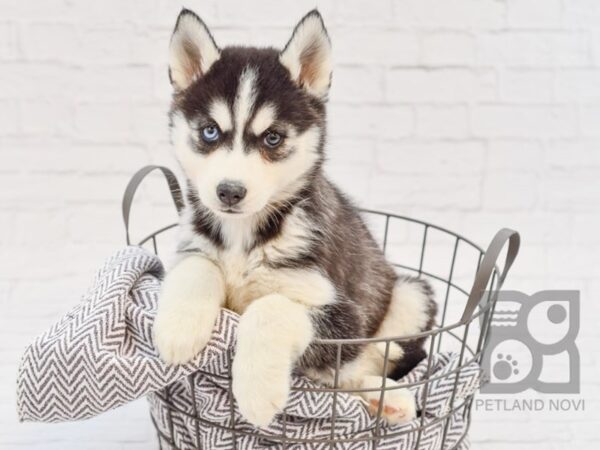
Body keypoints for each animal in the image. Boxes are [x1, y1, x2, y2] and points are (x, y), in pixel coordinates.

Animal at [154, 8, 436, 428]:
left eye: (272, 138)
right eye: (210, 132)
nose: (229, 192)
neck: (245, 237)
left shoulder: (344, 315)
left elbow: (271, 307)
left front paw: (257, 391)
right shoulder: (195, 244)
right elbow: (197, 265)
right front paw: (179, 328)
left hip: (412, 296)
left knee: (359, 367)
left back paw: (389, 397)